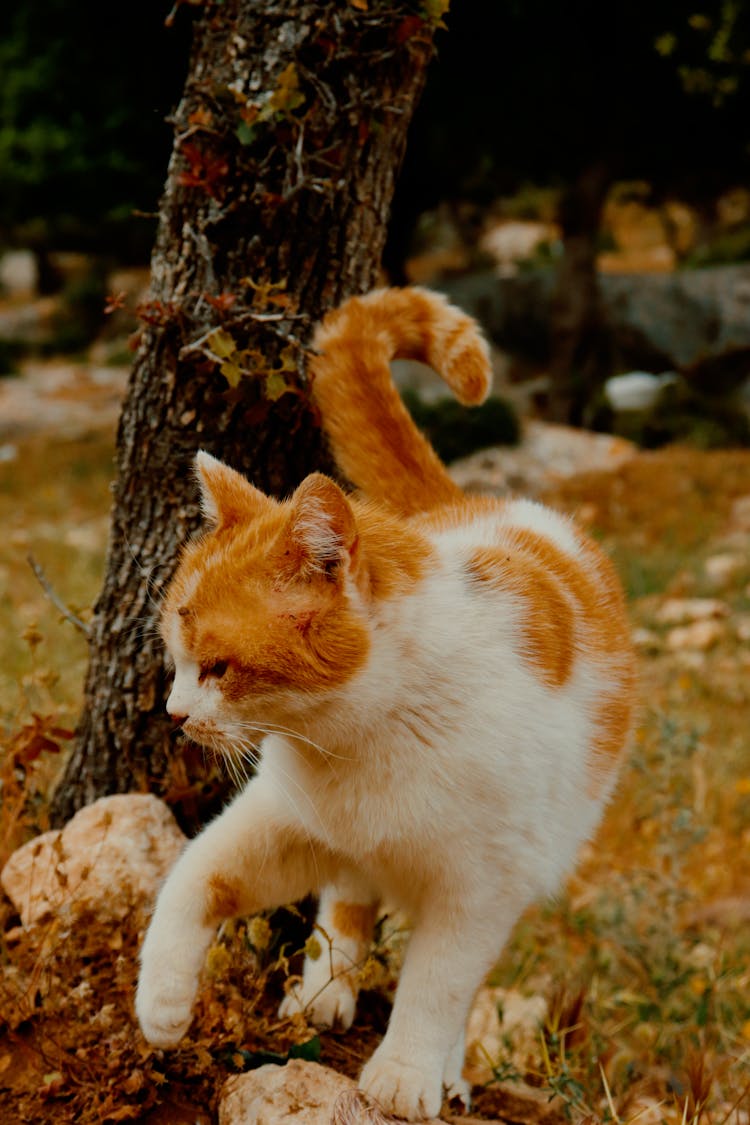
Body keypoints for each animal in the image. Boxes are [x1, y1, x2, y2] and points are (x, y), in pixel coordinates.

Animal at [134, 288, 634, 1116]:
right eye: (174, 658)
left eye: (218, 666)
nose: (174, 714)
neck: (362, 738)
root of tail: (471, 503)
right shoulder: (284, 822)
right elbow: (197, 877)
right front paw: (163, 1002)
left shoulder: (479, 889)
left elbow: (437, 984)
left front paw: (405, 1073)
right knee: (347, 899)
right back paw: (323, 992)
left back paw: (446, 1067)